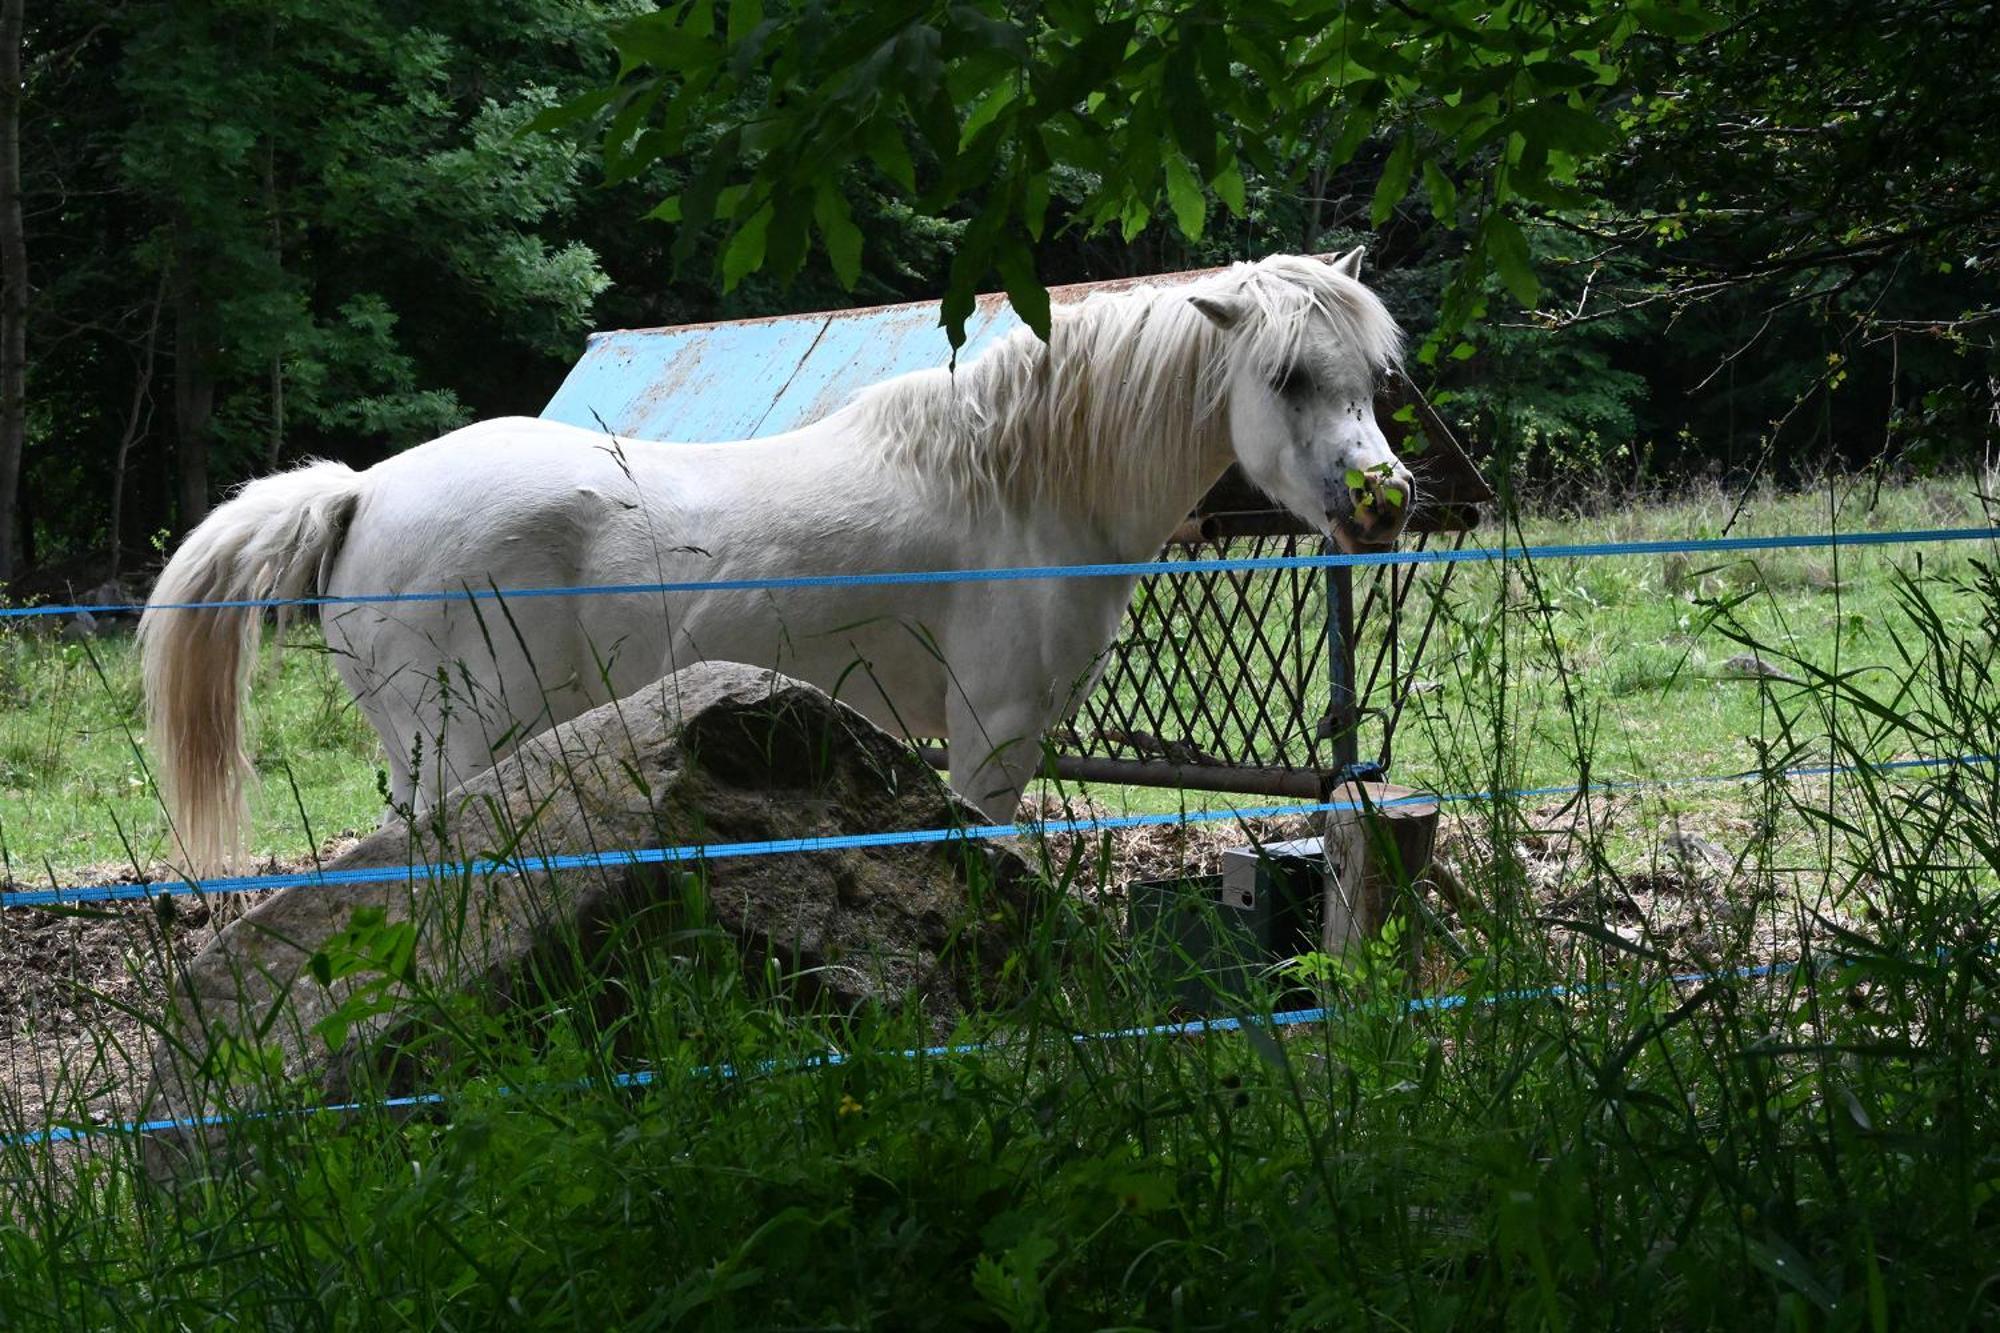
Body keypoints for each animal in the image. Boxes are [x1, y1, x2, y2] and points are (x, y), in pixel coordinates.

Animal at [137, 249, 1408, 872]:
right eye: (1286, 375)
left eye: (1373, 374)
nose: (1383, 503)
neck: (1016, 482)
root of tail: (362, 489)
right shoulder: (990, 732)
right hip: (456, 750)